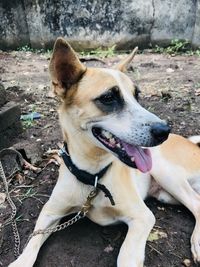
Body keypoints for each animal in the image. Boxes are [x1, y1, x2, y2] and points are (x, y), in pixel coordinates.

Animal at [9, 38, 200, 267]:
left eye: (137, 95)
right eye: (108, 97)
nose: (164, 131)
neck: (93, 176)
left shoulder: (142, 217)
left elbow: (127, 255)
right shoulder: (50, 211)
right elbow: (32, 241)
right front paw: (20, 261)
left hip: (165, 171)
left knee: (197, 204)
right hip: (166, 193)